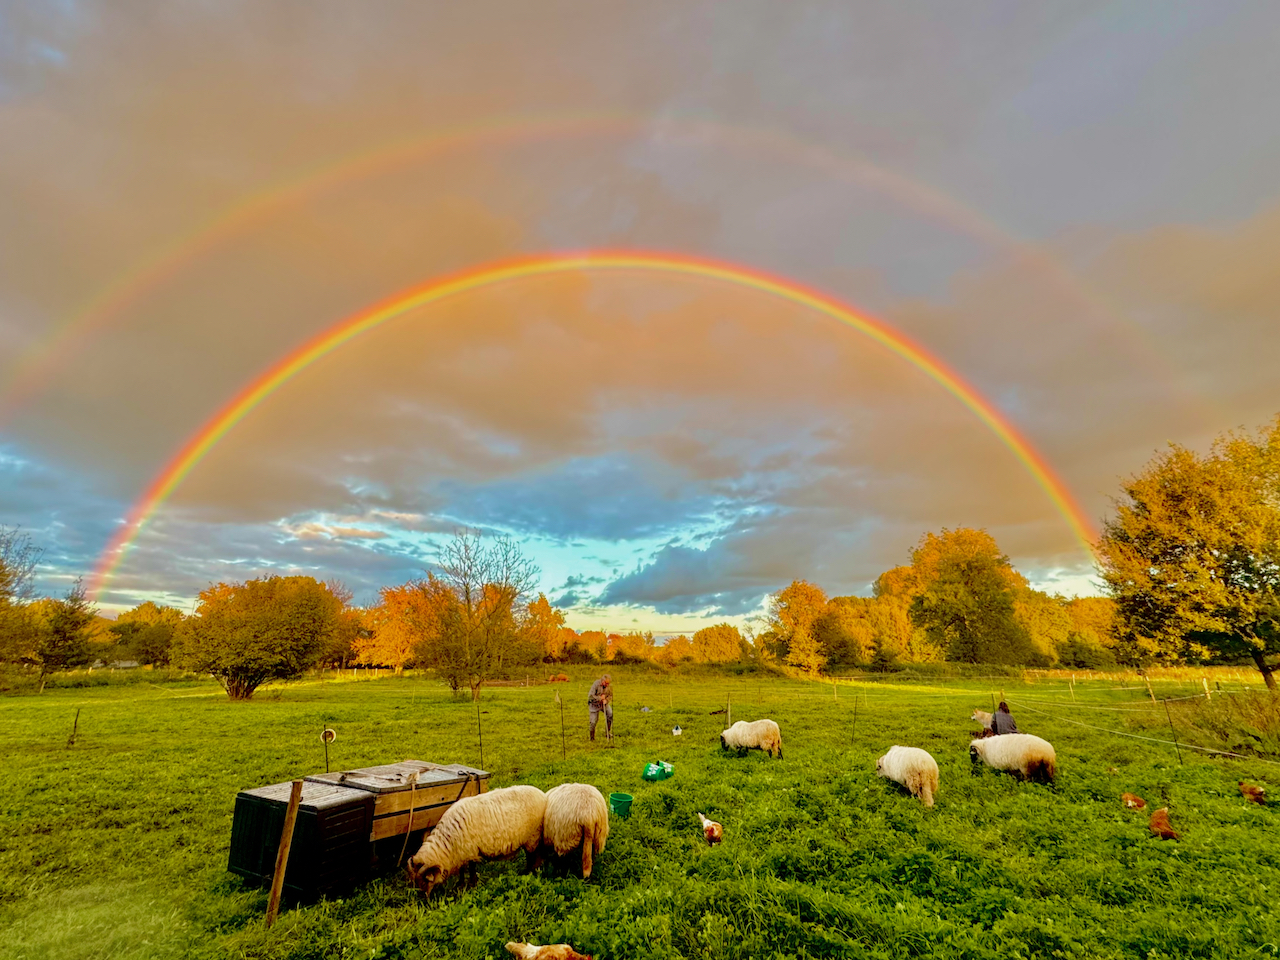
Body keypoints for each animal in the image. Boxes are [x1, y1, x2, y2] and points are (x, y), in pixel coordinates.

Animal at [404, 783, 545, 901]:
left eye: (424, 881)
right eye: (414, 882)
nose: (422, 900)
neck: (447, 843)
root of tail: (542, 794)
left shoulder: (471, 851)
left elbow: (471, 868)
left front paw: (472, 884)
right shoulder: (461, 854)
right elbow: (462, 870)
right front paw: (460, 884)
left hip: (533, 835)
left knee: (532, 855)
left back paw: (528, 872)